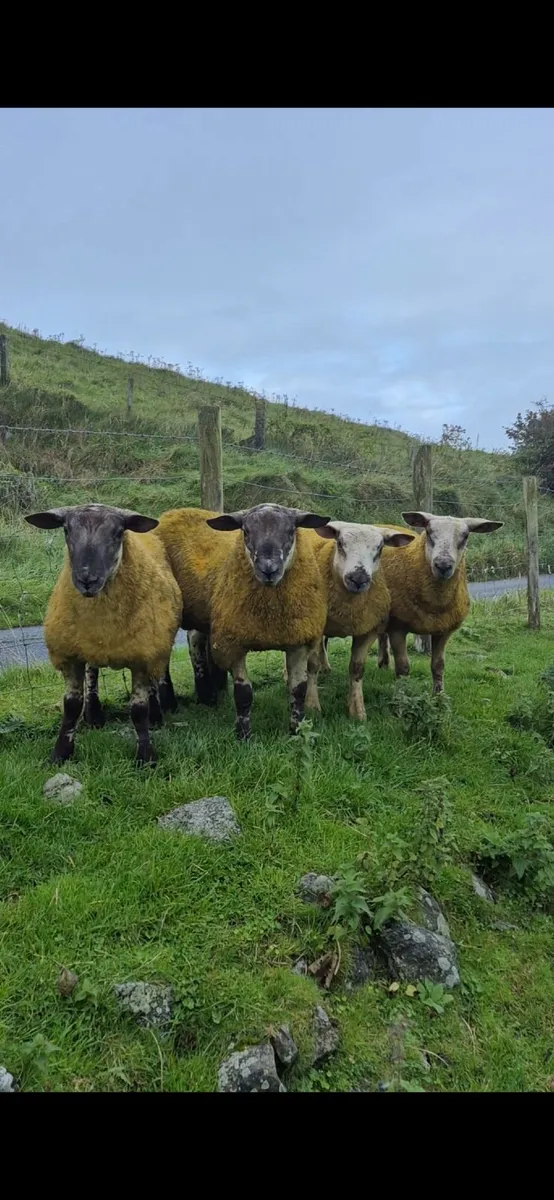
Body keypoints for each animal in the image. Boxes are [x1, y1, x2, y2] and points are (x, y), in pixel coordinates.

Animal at [25, 504, 182, 765]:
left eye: (118, 533)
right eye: (66, 529)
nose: (87, 579)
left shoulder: (141, 656)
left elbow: (138, 710)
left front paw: (146, 757)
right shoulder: (71, 655)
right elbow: (71, 706)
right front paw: (60, 753)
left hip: (156, 646)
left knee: (155, 678)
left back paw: (156, 714)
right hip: (90, 645)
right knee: (93, 672)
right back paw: (94, 714)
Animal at [155, 503, 331, 739]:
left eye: (290, 531)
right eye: (246, 532)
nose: (268, 569)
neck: (270, 616)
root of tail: (172, 513)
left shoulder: (299, 641)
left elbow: (298, 690)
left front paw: (296, 731)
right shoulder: (233, 643)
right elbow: (244, 693)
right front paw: (243, 735)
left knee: (195, 640)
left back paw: (207, 697)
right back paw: (169, 704)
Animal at [284, 521, 414, 719]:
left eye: (380, 548)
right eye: (340, 543)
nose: (358, 579)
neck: (347, 610)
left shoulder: (367, 628)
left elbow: (357, 668)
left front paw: (357, 711)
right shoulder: (315, 627)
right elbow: (312, 665)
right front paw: (312, 706)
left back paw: (326, 668)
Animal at [377, 511, 503, 693]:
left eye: (465, 536)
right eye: (429, 532)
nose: (443, 565)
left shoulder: (444, 628)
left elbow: (438, 665)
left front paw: (439, 695)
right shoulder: (397, 627)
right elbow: (403, 668)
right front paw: (404, 693)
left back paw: (384, 663)